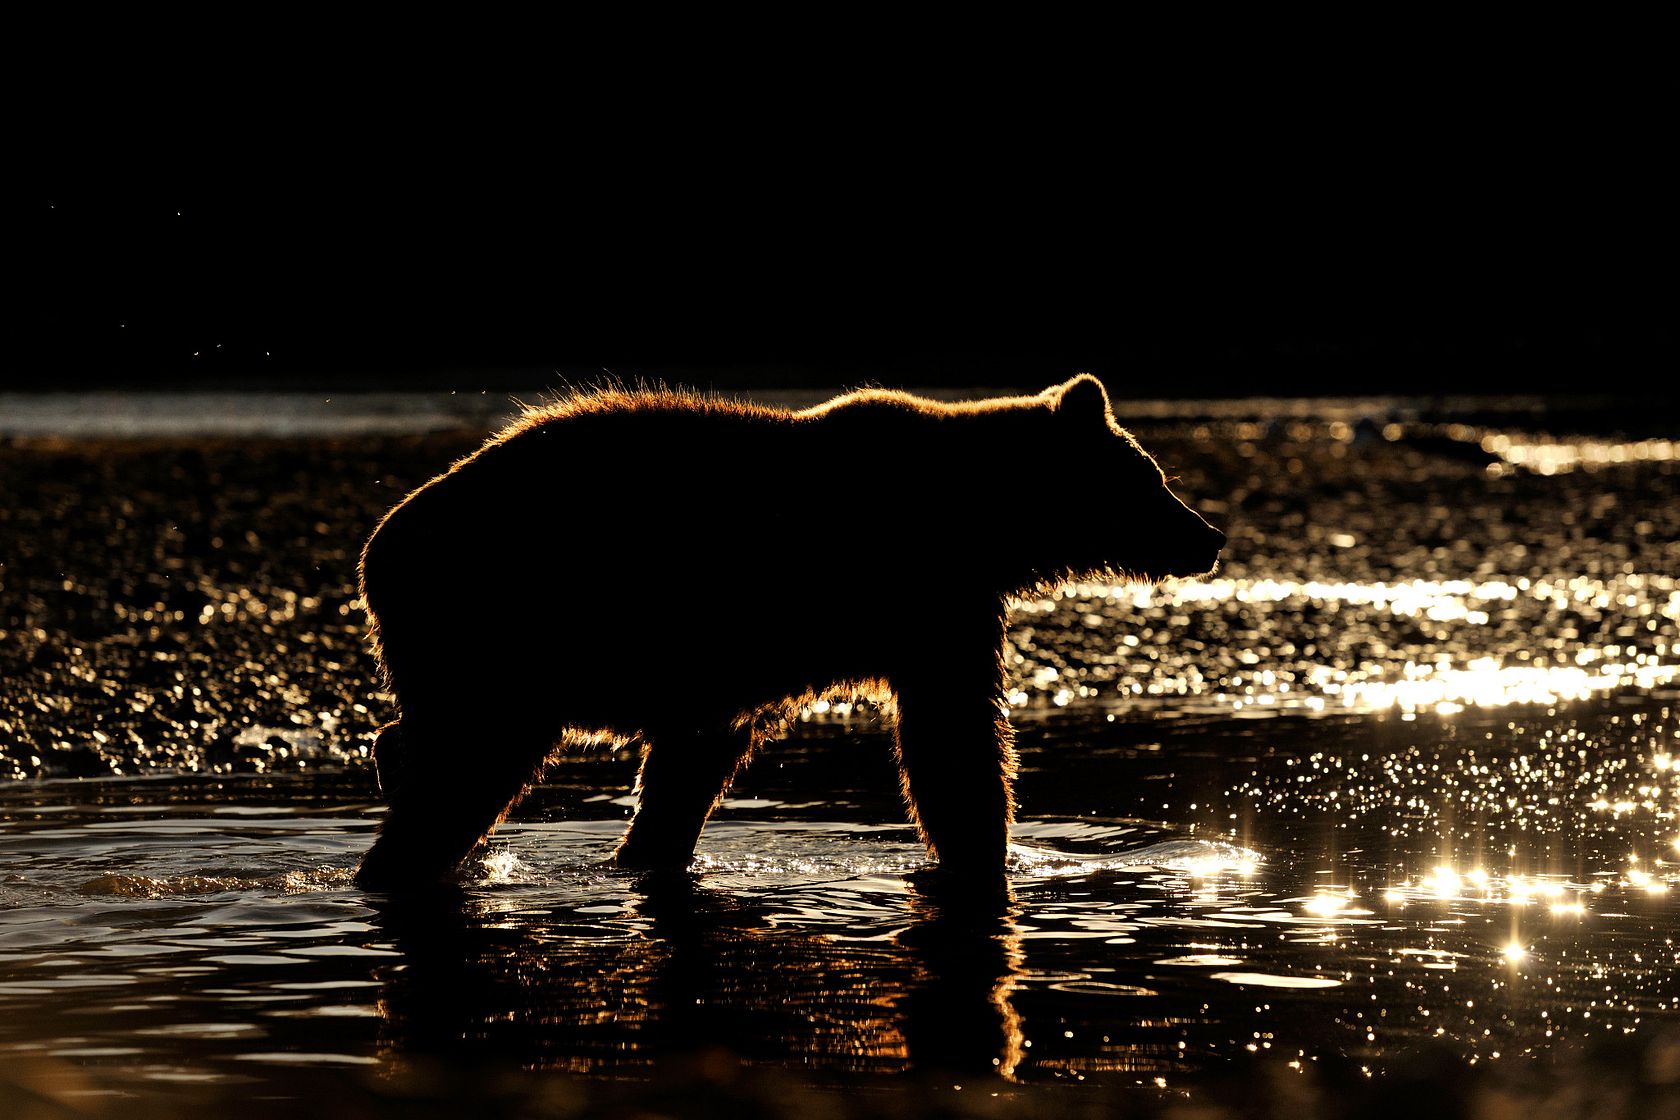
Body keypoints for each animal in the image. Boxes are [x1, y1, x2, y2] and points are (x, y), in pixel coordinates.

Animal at [351, 374, 1224, 889]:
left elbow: (695, 760)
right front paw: (986, 850)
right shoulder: (929, 599)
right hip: (508, 624)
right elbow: (954, 738)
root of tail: (377, 547)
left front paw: (649, 848)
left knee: (428, 736)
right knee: (472, 763)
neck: (982, 518)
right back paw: (399, 857)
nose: (1209, 537)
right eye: (1152, 477)